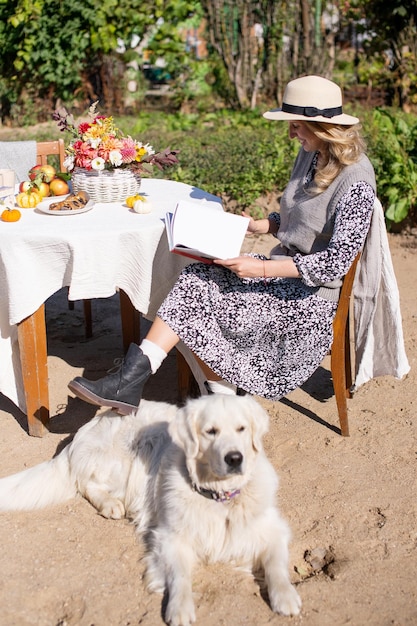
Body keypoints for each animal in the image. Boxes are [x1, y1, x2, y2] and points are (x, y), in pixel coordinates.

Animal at [0, 392, 300, 620]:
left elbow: (276, 563)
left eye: (242, 429)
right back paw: (110, 504)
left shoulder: (273, 530)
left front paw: (285, 596)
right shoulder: (169, 537)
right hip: (125, 459)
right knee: (86, 483)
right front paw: (179, 608)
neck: (220, 497)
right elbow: (180, 576)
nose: (235, 458)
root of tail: (85, 429)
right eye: (210, 432)